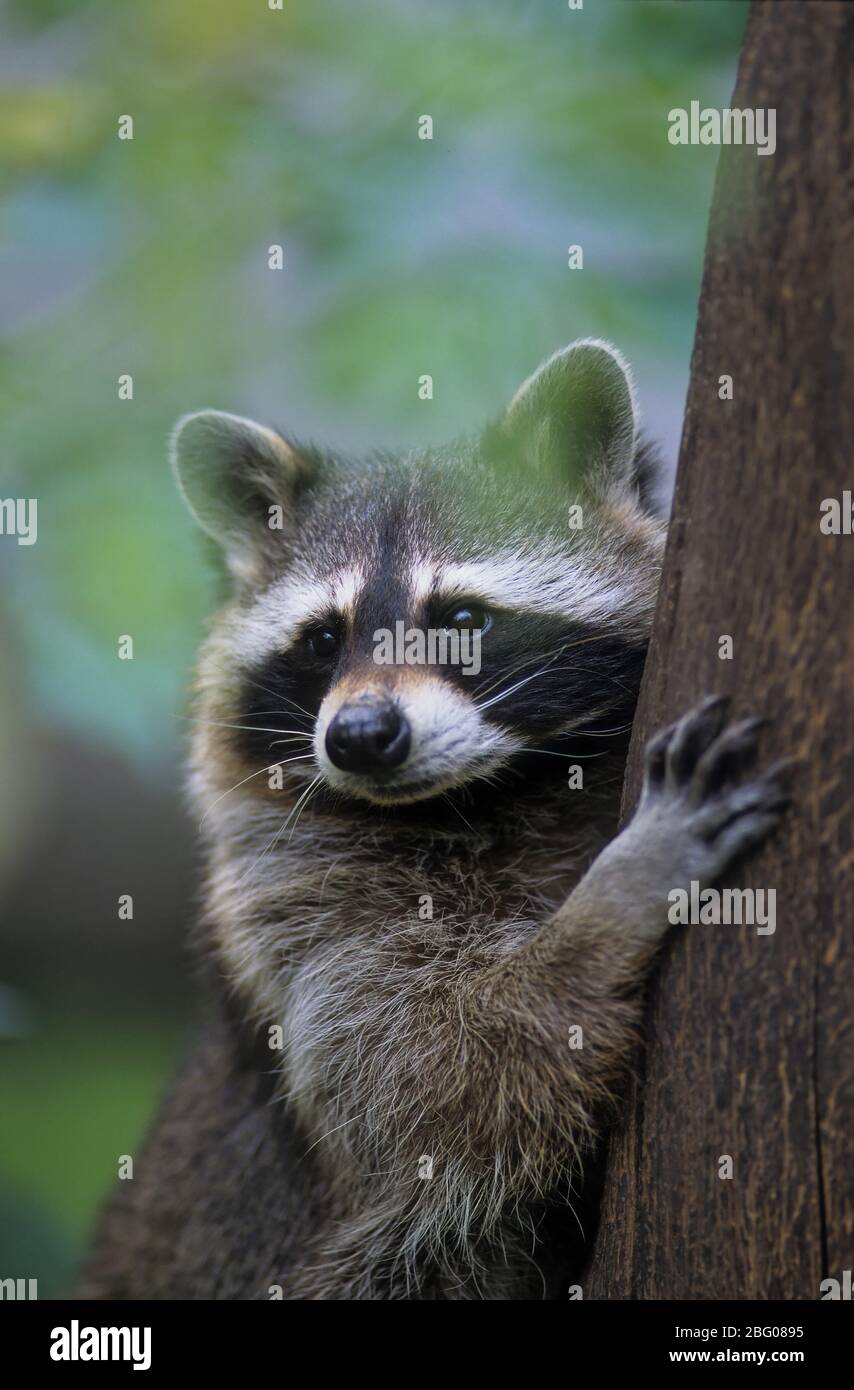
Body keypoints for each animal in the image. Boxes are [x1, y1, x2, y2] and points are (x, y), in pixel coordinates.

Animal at [79, 340, 787, 1300]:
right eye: (322, 641)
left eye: (460, 620)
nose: (359, 737)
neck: (488, 793)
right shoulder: (296, 921)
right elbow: (447, 1083)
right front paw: (616, 901)